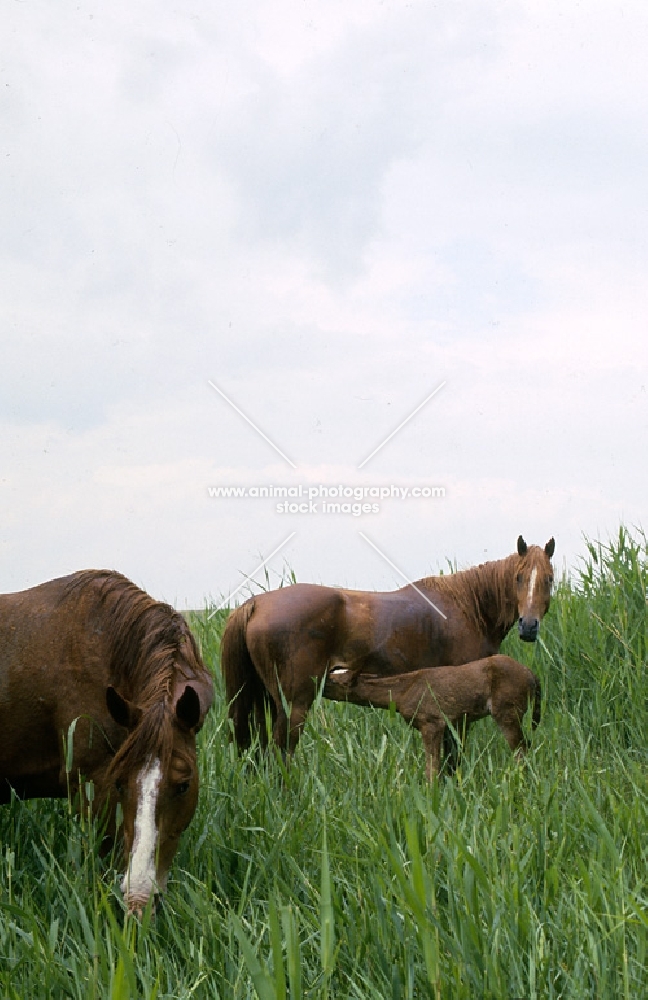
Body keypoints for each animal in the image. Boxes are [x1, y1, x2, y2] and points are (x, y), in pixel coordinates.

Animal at [221, 536, 552, 752]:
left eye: (549, 578)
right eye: (519, 577)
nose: (528, 626)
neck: (466, 606)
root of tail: (256, 604)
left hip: (266, 699)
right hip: (295, 704)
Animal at [324, 656, 540, 780]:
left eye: (332, 680)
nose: (318, 682)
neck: (401, 694)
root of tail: (532, 676)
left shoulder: (431, 721)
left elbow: (432, 767)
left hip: (507, 709)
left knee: (520, 747)